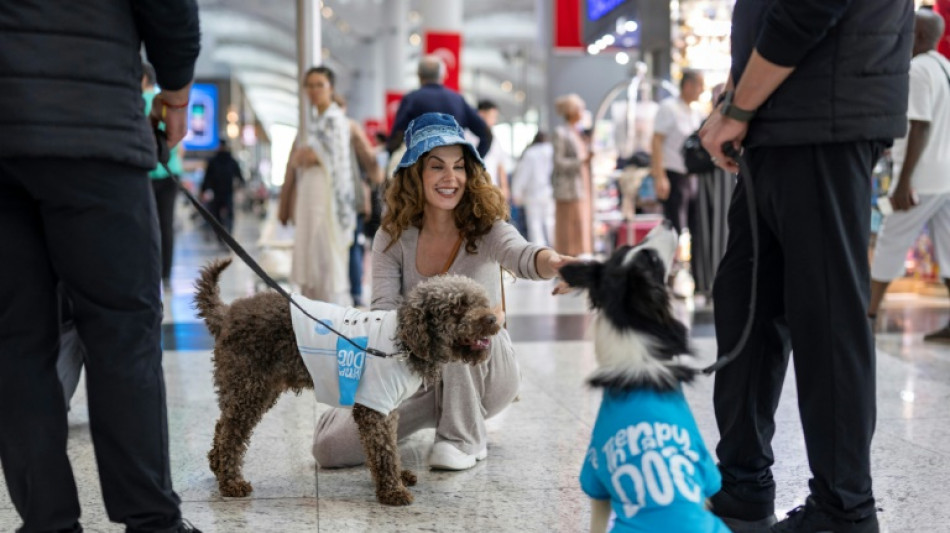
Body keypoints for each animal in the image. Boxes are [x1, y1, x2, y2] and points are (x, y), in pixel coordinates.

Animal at [197, 260, 502, 504]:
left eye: (480, 301)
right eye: (458, 306)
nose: (492, 318)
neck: (404, 342)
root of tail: (227, 314)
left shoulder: (388, 407)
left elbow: (389, 446)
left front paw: (397, 476)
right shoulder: (373, 407)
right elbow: (383, 448)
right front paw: (392, 490)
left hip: (252, 389)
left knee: (222, 426)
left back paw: (217, 467)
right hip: (250, 387)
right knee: (230, 435)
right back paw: (231, 482)